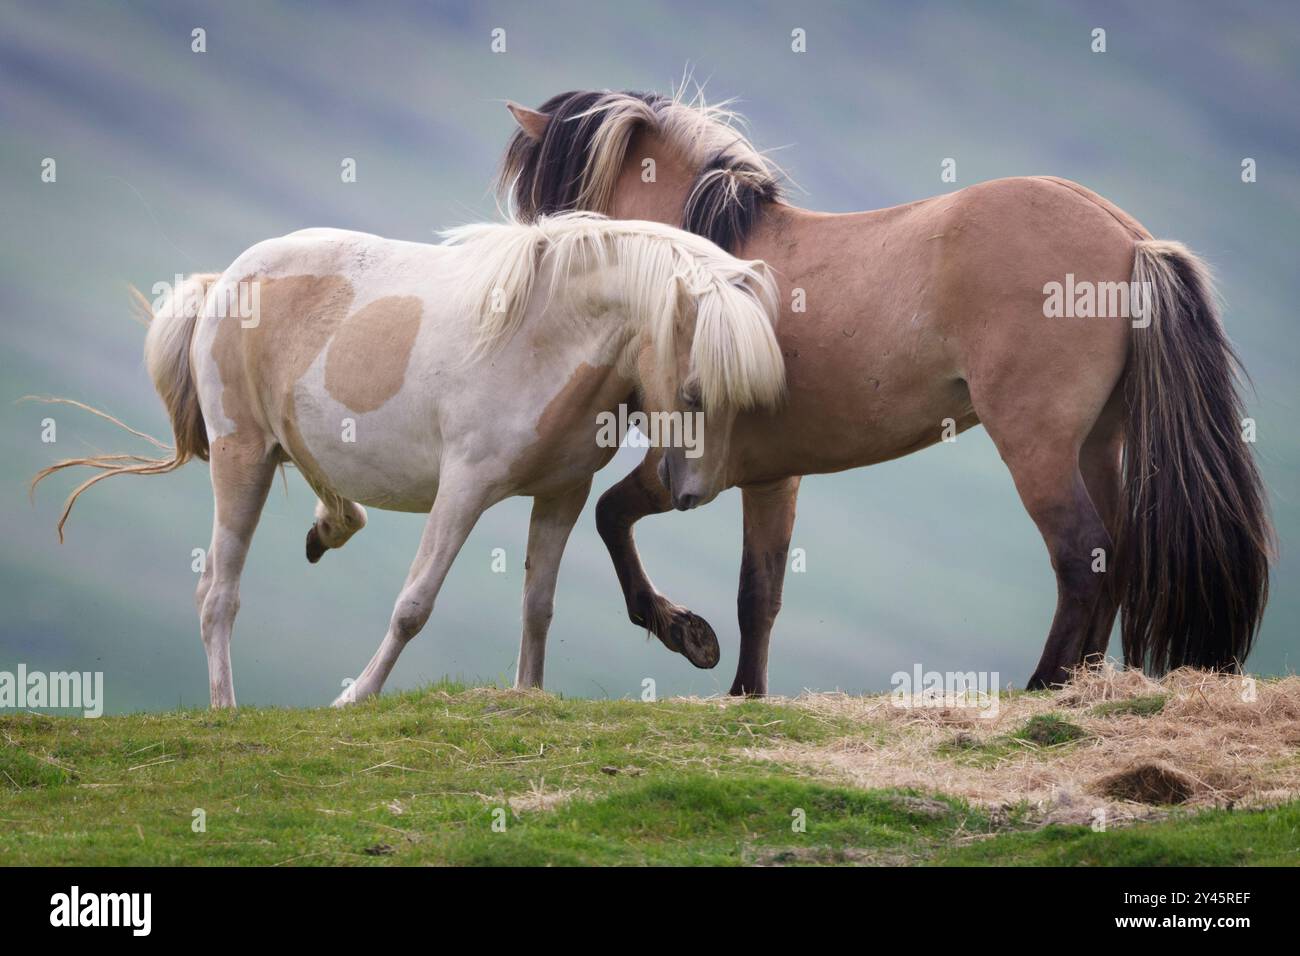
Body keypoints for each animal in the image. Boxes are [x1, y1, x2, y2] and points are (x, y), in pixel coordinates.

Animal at [31, 213, 786, 708]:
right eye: (693, 391)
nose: (690, 493)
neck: (543, 336)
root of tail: (225, 281)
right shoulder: (464, 488)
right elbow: (413, 606)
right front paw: (356, 698)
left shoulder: (562, 494)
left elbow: (537, 606)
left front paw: (528, 694)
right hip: (241, 456)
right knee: (216, 593)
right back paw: (226, 711)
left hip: (279, 446)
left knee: (318, 505)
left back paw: (329, 527)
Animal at [498, 88, 1274, 694]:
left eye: (552, 201)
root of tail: (1130, 240)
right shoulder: (770, 477)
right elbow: (759, 595)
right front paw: (741, 688)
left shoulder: (698, 469)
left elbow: (613, 517)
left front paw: (683, 632)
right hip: (1096, 444)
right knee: (1111, 559)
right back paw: (1077, 684)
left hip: (1038, 447)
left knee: (1081, 556)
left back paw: (1043, 686)